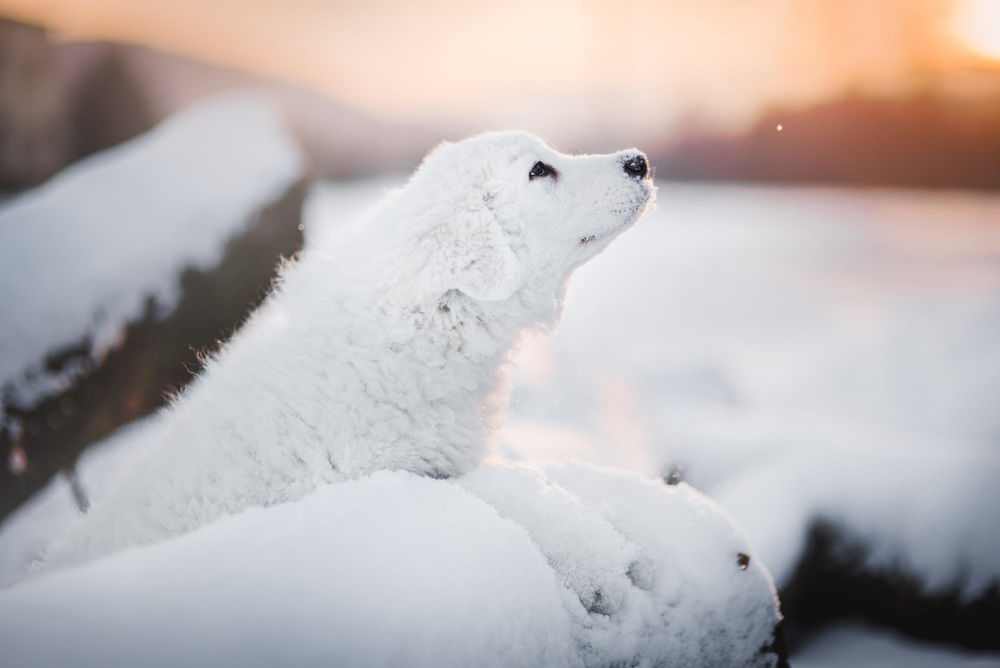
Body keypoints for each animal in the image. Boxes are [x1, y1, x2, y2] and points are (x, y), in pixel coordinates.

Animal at [45, 133, 656, 572]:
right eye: (538, 171)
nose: (640, 161)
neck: (422, 328)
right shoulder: (389, 475)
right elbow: (504, 498)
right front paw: (596, 560)